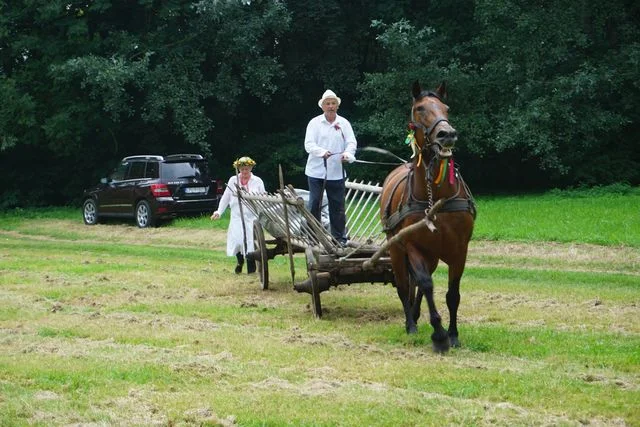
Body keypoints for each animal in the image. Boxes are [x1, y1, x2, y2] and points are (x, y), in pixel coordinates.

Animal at [380, 82, 476, 352]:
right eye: (419, 109)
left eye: (446, 108)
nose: (447, 134)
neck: (437, 199)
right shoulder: (413, 246)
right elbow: (425, 284)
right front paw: (439, 334)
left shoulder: (460, 249)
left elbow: (452, 294)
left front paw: (452, 334)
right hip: (396, 249)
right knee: (405, 286)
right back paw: (410, 323)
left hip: (432, 255)